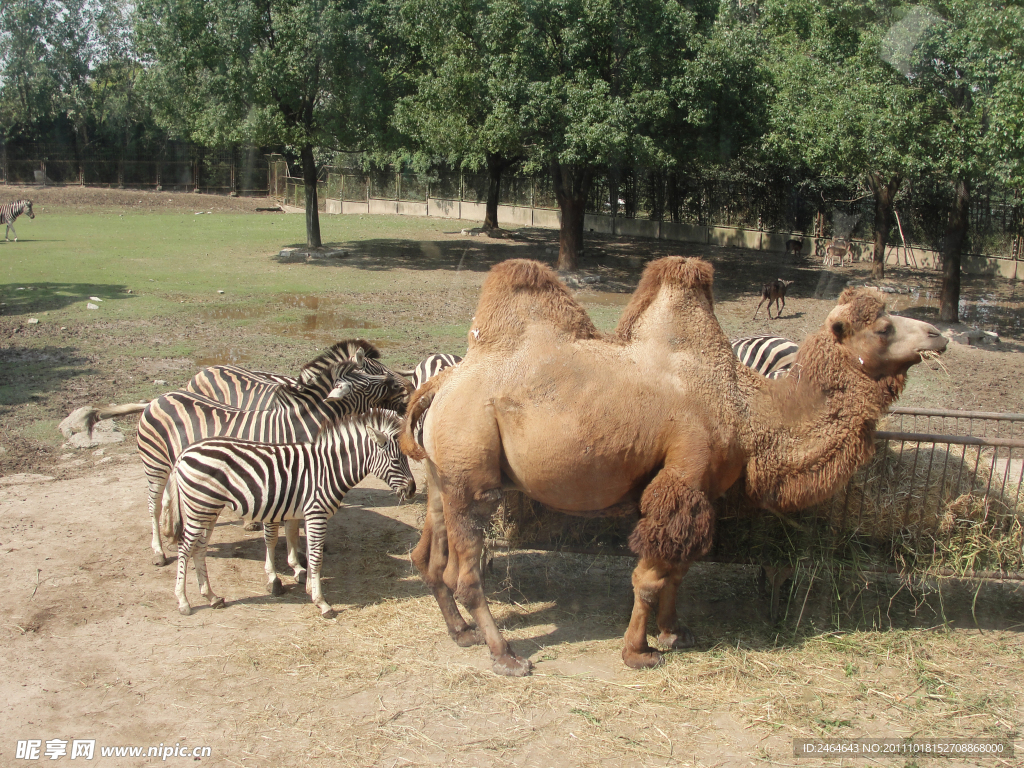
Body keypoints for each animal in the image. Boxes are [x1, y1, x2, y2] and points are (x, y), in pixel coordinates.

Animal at [137, 364, 407, 569]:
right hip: (155, 464)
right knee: (153, 505)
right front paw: (294, 562)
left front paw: (298, 557)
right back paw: (159, 552)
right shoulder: (282, 477)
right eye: (365, 383)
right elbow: (286, 525)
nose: (399, 385)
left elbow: (293, 524)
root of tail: (160, 398)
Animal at [161, 409, 413, 618]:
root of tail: (183, 454)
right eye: (395, 460)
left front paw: (310, 587)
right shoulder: (316, 513)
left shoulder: (310, 515)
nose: (412, 489)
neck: (328, 469)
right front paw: (322, 603)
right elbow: (316, 556)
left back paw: (212, 597)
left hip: (209, 509)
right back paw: (183, 602)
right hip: (199, 507)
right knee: (185, 548)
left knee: (199, 548)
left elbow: (311, 552)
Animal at [403, 257, 946, 671]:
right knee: (466, 573)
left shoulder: (704, 487)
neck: (747, 408)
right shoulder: (682, 474)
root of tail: (441, 383)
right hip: (472, 471)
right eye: (883, 327)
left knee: (429, 556)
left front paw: (673, 633)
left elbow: (680, 569)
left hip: (442, 475)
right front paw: (637, 653)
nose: (938, 335)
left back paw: (461, 633)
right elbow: (648, 575)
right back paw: (506, 655)